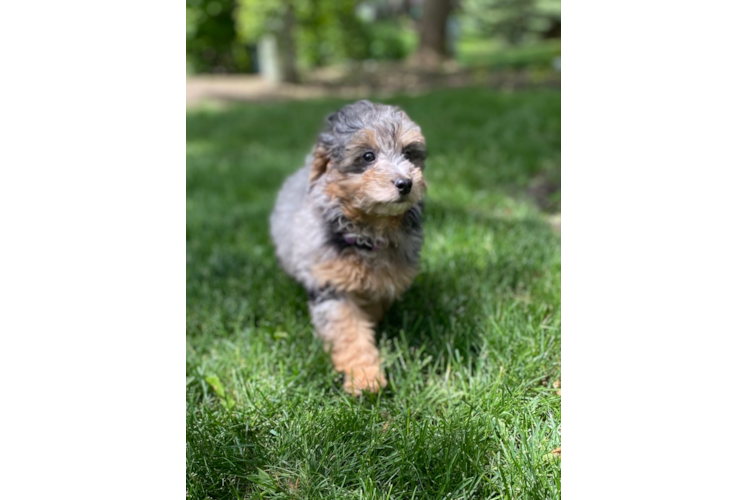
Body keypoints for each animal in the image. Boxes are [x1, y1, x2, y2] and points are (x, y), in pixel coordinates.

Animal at [274, 98, 426, 394]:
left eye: (409, 154)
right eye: (368, 156)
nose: (405, 183)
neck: (369, 234)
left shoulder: (384, 282)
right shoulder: (332, 286)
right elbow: (350, 332)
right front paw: (365, 378)